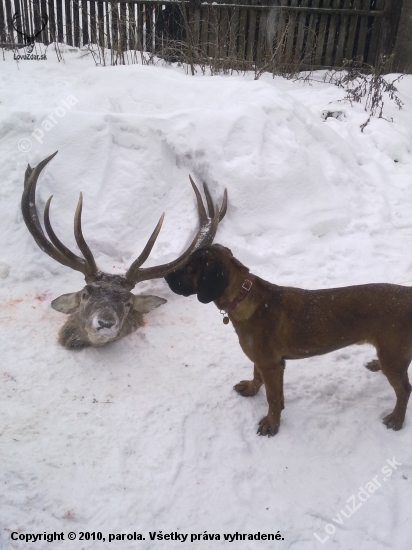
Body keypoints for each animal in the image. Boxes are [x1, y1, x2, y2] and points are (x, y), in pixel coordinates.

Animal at [166, 246, 412, 440]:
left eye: (190, 267)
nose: (166, 276)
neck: (243, 296)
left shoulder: (271, 365)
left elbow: (273, 398)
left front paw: (271, 424)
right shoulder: (264, 361)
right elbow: (258, 377)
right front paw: (251, 389)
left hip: (392, 356)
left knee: (404, 390)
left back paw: (396, 419)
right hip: (392, 354)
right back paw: (376, 365)